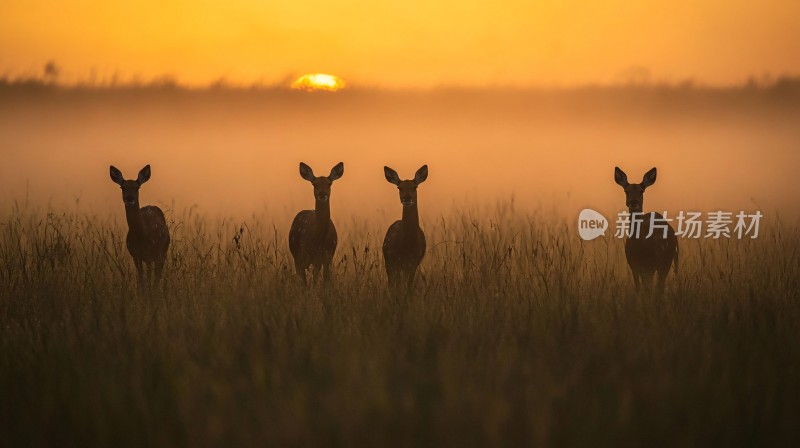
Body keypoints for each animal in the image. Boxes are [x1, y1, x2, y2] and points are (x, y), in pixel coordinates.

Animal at [616, 165, 680, 294]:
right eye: (626, 191)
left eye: (642, 191)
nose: (633, 202)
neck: (640, 248)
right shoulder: (634, 266)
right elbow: (638, 289)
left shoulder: (650, 265)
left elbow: (648, 289)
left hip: (666, 261)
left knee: (660, 287)